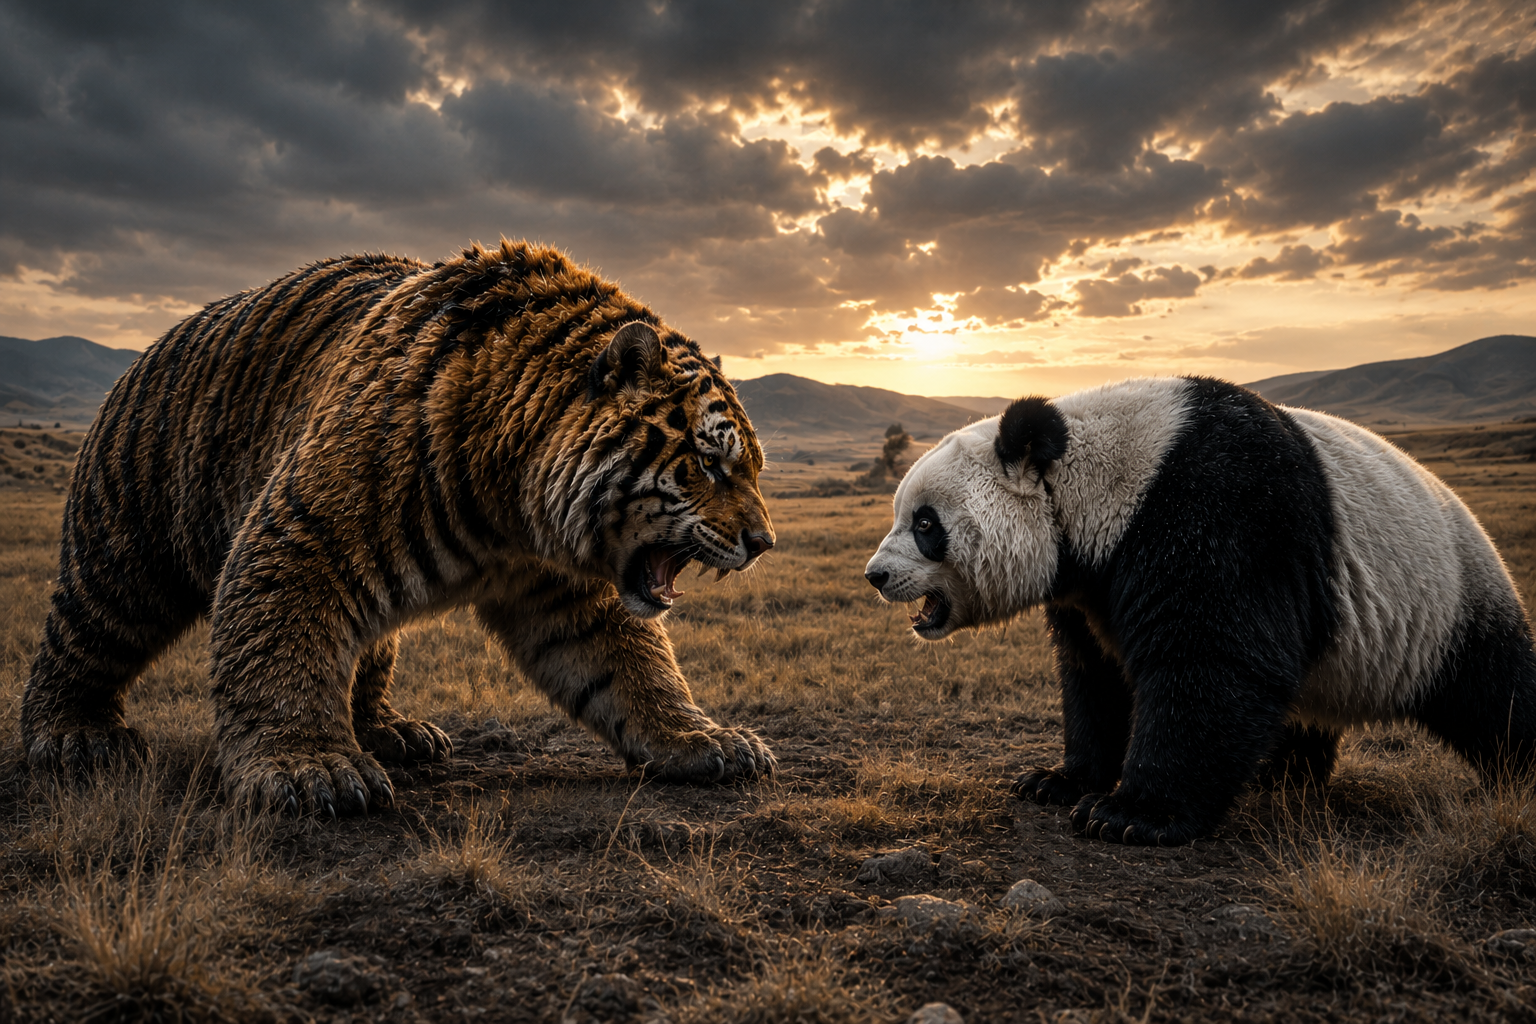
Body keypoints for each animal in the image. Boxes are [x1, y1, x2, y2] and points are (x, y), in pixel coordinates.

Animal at [21, 240, 777, 817]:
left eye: (755, 467)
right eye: (711, 462)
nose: (764, 542)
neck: (514, 504)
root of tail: (145, 352)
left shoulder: (569, 591)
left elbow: (632, 669)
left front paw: (701, 740)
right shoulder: (306, 537)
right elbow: (279, 649)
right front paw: (306, 766)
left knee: (365, 653)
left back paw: (390, 731)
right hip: (125, 556)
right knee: (82, 636)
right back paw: (73, 736)